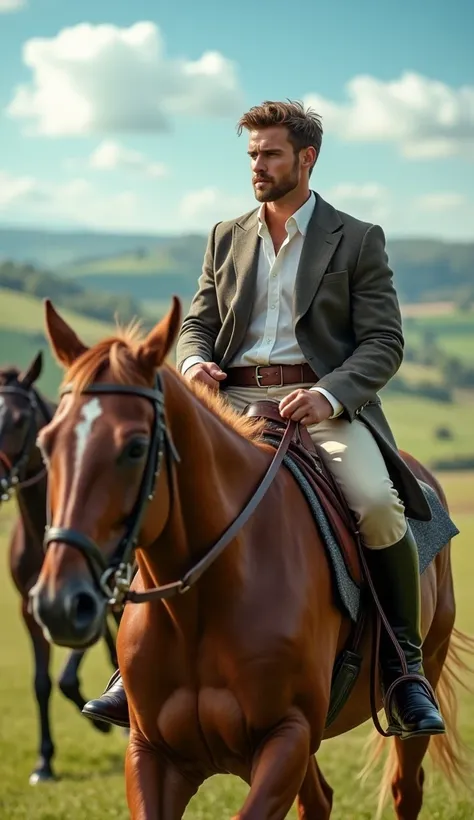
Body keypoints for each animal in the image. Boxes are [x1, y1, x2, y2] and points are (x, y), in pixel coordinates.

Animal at [0, 354, 118, 788]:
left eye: (20, 420)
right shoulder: (32, 609)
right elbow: (41, 683)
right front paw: (44, 762)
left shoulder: (89, 604)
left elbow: (67, 677)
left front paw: (100, 722)